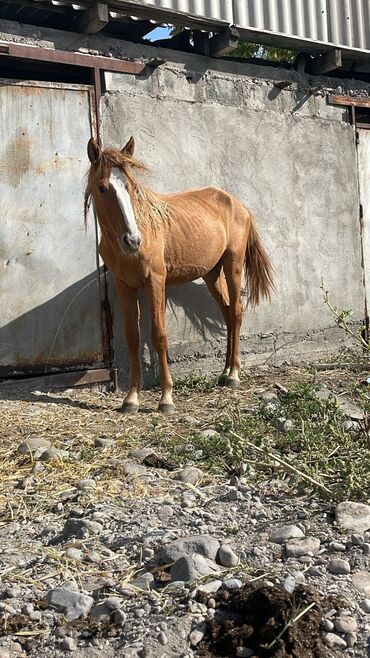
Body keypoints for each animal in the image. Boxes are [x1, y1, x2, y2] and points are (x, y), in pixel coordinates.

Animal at [85, 136, 274, 412]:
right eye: (102, 188)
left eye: (131, 187)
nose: (133, 240)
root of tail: (238, 205)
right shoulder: (125, 286)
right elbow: (132, 337)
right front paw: (131, 399)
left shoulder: (156, 282)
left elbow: (159, 335)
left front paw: (166, 398)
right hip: (211, 274)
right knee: (228, 313)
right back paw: (224, 372)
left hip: (233, 266)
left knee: (237, 312)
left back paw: (234, 375)